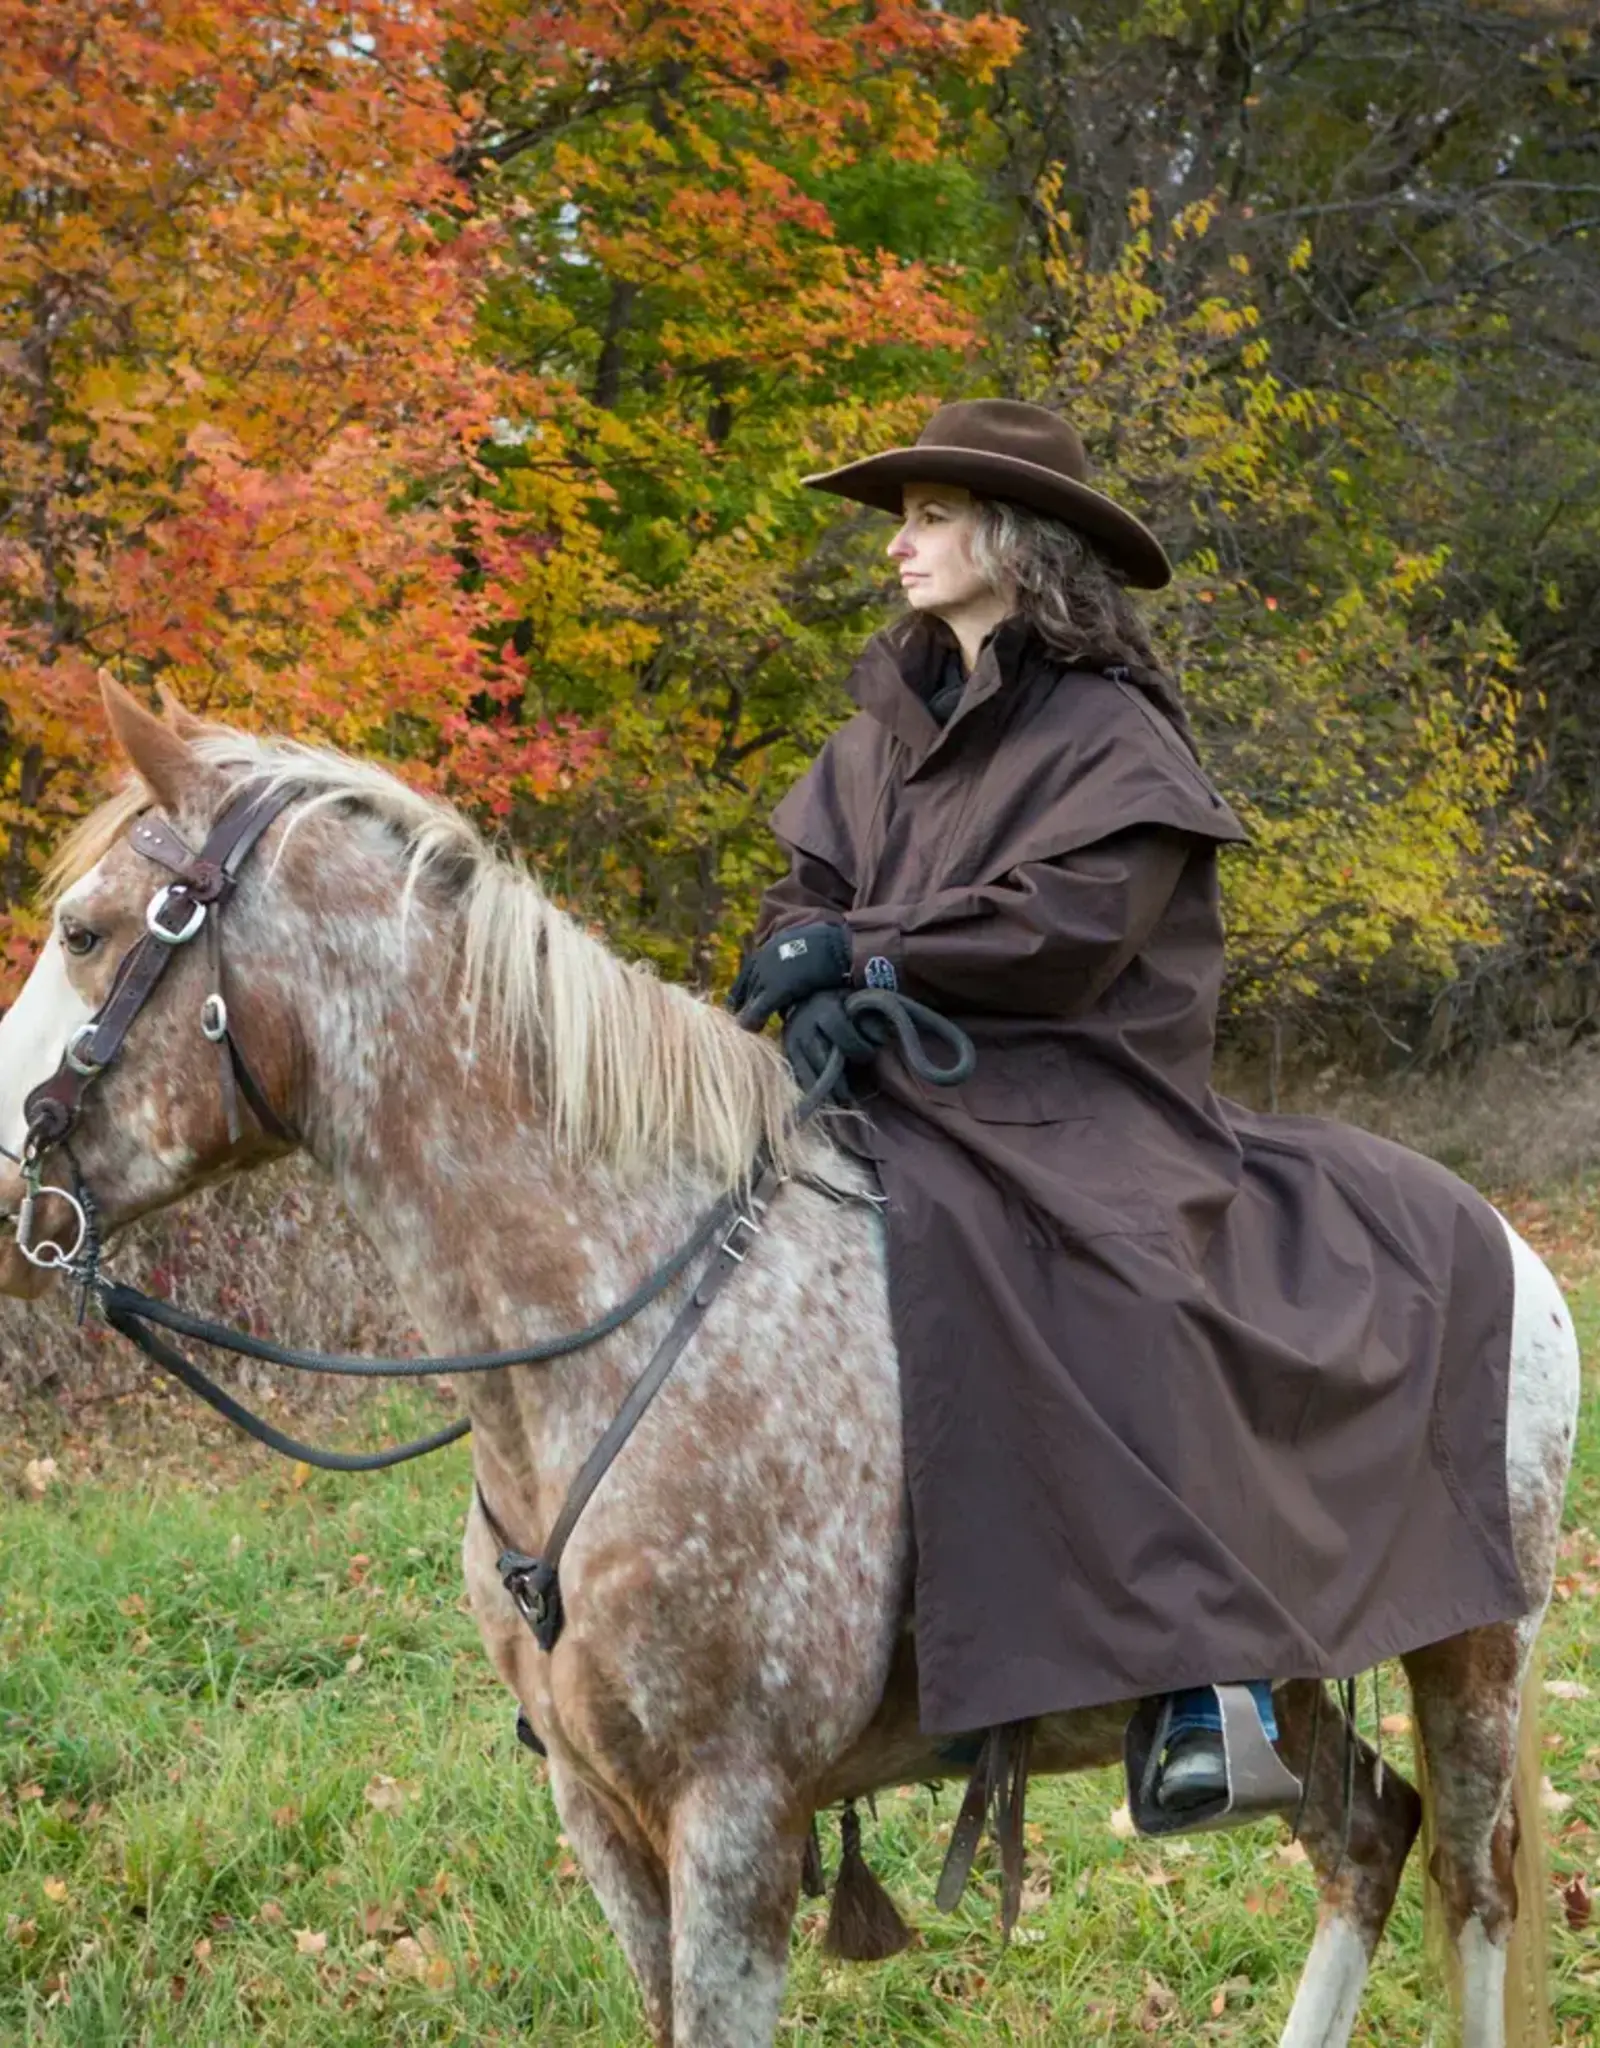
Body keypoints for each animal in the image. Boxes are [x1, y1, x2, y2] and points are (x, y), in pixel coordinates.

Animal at [0, 679, 1573, 2039]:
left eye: (83, 931)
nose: (8, 1189)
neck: (621, 1325)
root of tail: (1516, 1249)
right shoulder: (602, 1817)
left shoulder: (735, 1822)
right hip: (1305, 1684)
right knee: (1368, 1841)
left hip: (1477, 1657)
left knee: (1472, 1889)